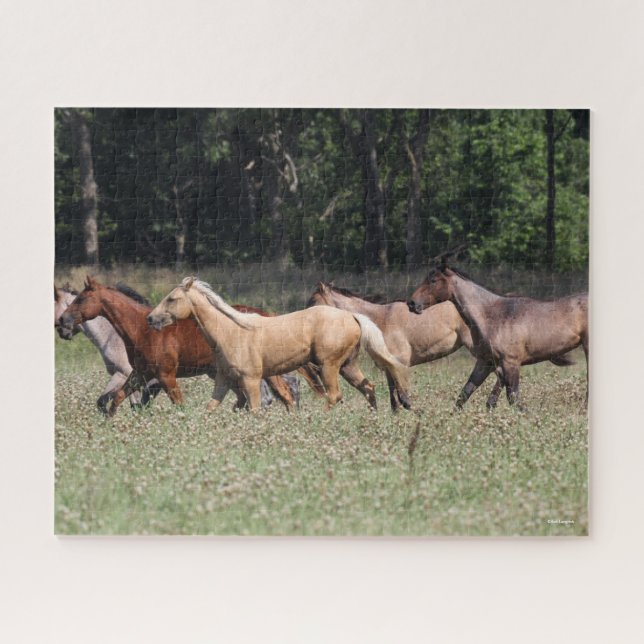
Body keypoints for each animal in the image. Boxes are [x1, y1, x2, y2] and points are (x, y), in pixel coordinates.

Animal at [57, 277, 300, 416]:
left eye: (79, 299)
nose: (61, 323)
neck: (141, 330)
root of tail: (268, 315)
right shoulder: (140, 374)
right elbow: (117, 400)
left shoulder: (165, 376)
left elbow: (178, 405)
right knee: (251, 398)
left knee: (283, 392)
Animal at [147, 277, 411, 412]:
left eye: (172, 299)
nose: (151, 318)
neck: (230, 332)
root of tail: (352, 316)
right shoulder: (223, 379)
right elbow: (210, 408)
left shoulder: (251, 380)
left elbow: (254, 409)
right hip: (348, 366)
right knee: (369, 388)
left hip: (329, 366)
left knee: (334, 396)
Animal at [307, 282, 509, 410]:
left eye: (314, 302)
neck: (379, 320)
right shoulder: (389, 368)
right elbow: (394, 401)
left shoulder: (400, 364)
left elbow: (403, 398)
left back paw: (490, 403)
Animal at [408, 263, 588, 409]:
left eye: (433, 280)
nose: (411, 303)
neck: (493, 315)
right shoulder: (486, 362)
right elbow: (464, 394)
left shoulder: (511, 363)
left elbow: (513, 398)